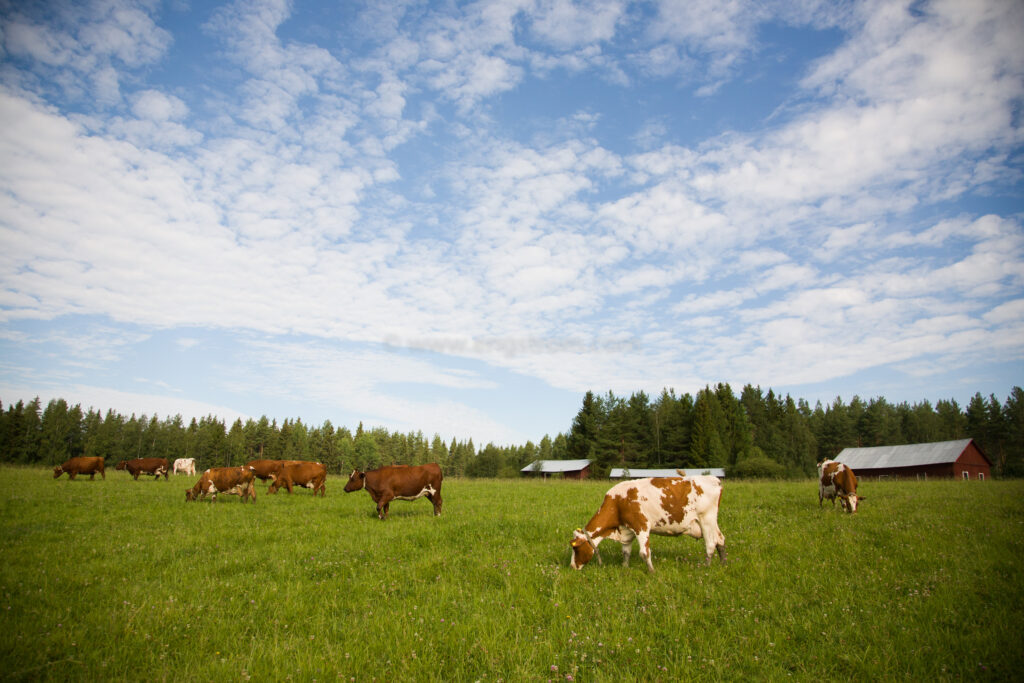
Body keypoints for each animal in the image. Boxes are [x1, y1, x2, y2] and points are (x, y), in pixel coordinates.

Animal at [569, 475, 729, 573]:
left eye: (576, 549)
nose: (572, 566)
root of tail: (713, 479)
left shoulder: (642, 526)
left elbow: (644, 552)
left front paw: (652, 572)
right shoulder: (627, 529)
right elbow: (626, 552)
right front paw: (625, 567)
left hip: (706, 519)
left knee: (710, 543)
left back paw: (706, 567)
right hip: (711, 522)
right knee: (720, 539)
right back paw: (723, 564)